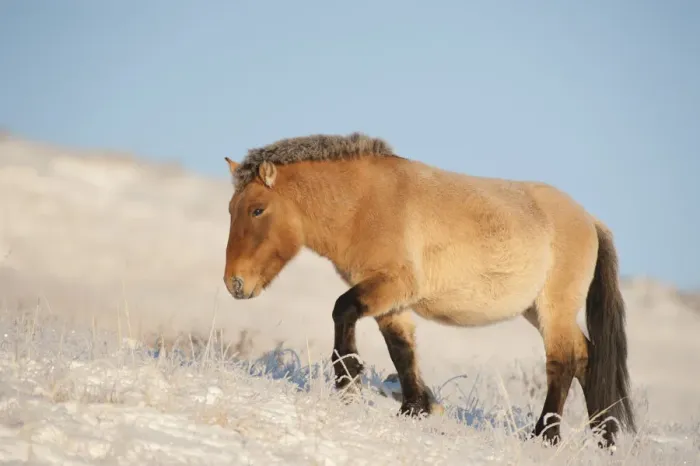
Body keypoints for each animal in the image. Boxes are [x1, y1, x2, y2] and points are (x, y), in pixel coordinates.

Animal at [221, 132, 636, 448]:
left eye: (257, 210)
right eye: (231, 209)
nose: (234, 283)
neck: (362, 204)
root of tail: (589, 220)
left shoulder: (393, 285)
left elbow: (343, 310)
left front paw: (349, 382)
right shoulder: (391, 300)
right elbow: (401, 349)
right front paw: (417, 408)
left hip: (554, 309)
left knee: (564, 361)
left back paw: (545, 436)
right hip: (536, 310)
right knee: (586, 356)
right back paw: (605, 438)